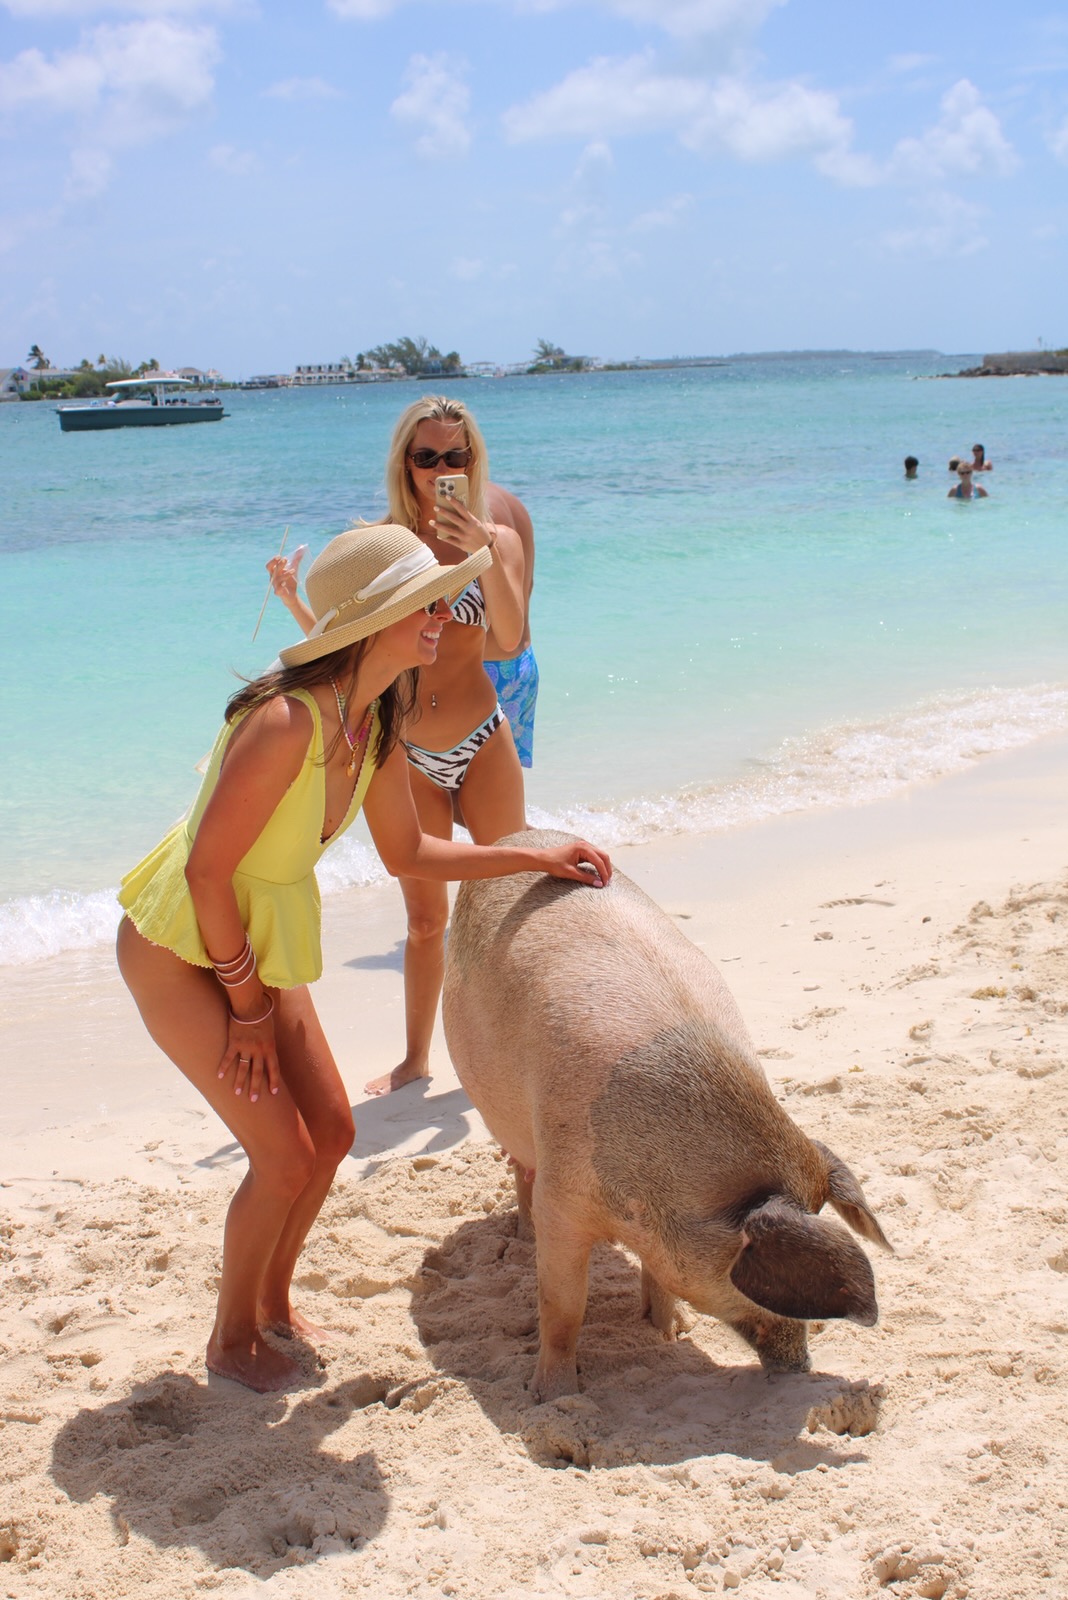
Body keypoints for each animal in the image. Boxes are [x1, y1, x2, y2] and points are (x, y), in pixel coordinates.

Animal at [442, 829, 891, 1404]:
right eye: (767, 1285)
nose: (800, 1368)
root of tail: (515, 837)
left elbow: (658, 1279)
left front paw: (669, 1334)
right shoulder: (562, 1199)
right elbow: (563, 1308)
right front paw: (553, 1398)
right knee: (520, 1169)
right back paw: (522, 1238)